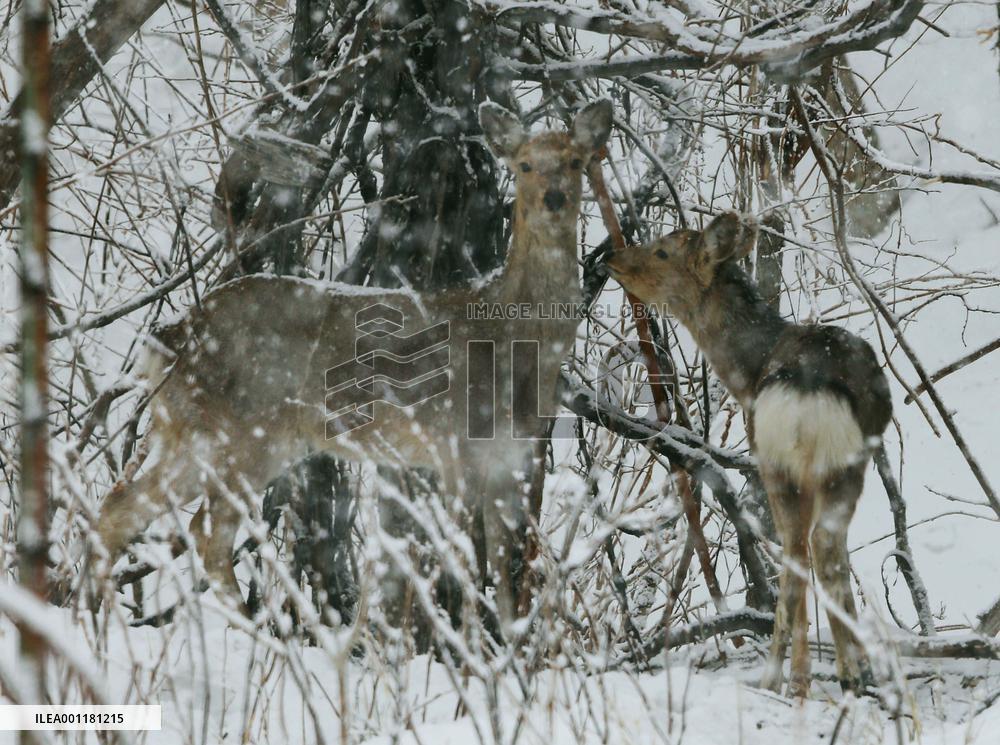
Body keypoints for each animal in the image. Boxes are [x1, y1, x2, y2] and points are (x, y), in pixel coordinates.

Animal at [90, 100, 613, 631]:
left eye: (575, 161)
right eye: (524, 165)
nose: (553, 198)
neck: (513, 339)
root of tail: (170, 336)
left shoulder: (515, 458)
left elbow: (508, 580)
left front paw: (508, 643)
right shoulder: (455, 447)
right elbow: (467, 565)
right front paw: (469, 644)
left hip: (194, 432)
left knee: (120, 508)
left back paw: (94, 620)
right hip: (245, 433)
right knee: (206, 533)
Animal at [604, 212, 892, 697]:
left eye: (663, 250)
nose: (611, 256)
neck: (749, 369)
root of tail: (804, 394)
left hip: (784, 462)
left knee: (801, 551)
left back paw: (792, 676)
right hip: (834, 465)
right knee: (817, 547)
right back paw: (828, 673)